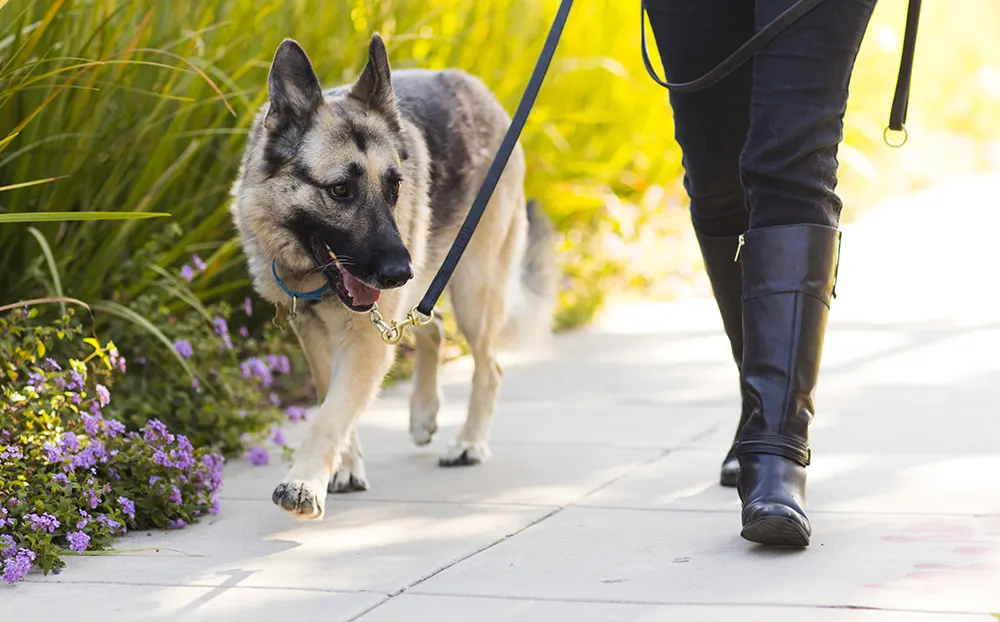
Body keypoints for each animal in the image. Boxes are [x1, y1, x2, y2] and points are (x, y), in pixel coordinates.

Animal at [230, 35, 560, 520]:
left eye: (394, 188)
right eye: (340, 190)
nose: (399, 273)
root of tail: (476, 87)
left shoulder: (366, 340)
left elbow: (330, 415)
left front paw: (304, 482)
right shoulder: (316, 332)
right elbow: (332, 402)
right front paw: (344, 468)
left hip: (473, 290)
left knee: (490, 366)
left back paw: (469, 443)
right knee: (432, 326)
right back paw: (424, 413)